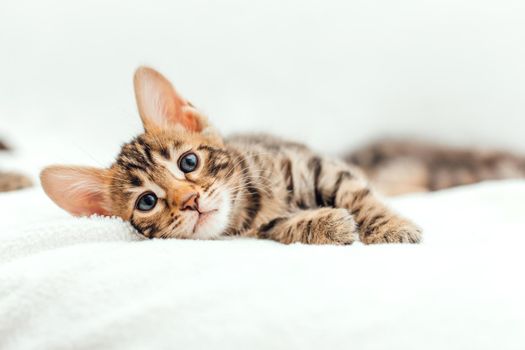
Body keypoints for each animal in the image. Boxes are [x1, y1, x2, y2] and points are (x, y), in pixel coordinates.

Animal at [39, 67, 420, 245]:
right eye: (147, 201)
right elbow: (282, 227)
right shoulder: (260, 228)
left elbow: (356, 193)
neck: (250, 203)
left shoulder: (312, 163)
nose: (190, 200)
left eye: (188, 162)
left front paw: (391, 227)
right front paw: (326, 224)